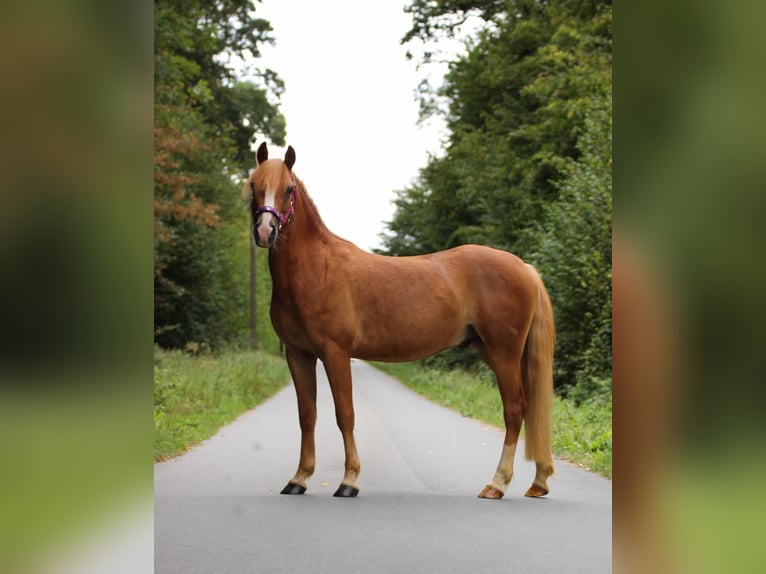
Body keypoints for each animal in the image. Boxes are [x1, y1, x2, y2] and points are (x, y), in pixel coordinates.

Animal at [246, 142, 555, 499]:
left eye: (289, 189)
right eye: (253, 186)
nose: (265, 231)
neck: (316, 269)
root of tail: (525, 268)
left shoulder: (335, 353)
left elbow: (345, 414)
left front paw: (349, 481)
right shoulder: (298, 354)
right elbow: (307, 416)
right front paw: (299, 478)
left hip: (504, 353)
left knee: (515, 410)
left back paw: (497, 483)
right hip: (492, 350)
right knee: (530, 408)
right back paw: (539, 481)